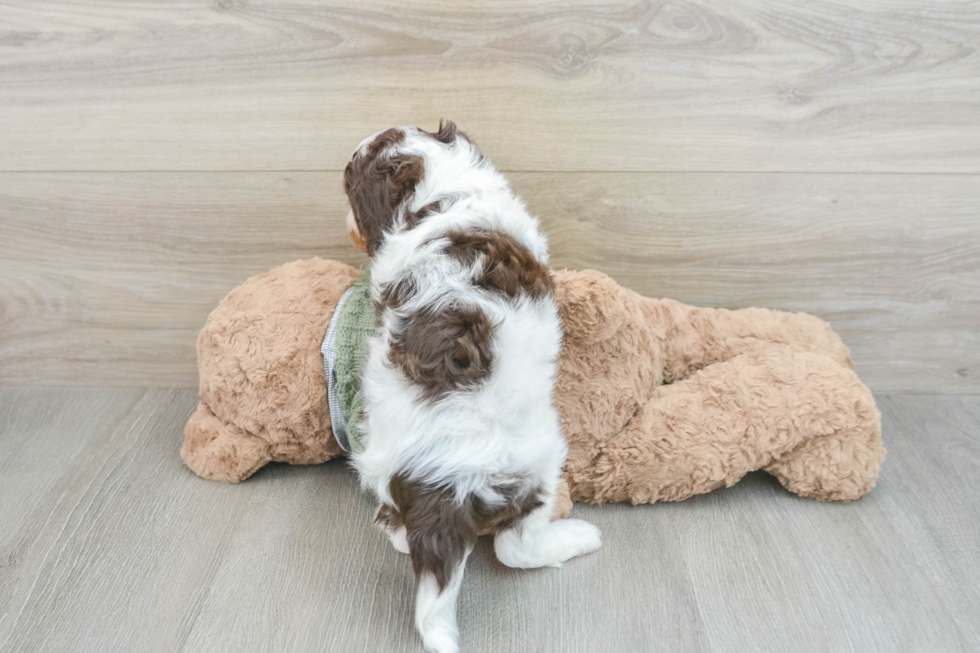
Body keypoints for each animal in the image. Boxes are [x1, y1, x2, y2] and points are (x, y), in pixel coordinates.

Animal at [344, 122, 604, 652]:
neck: (439, 200)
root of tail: (444, 492)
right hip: (538, 463)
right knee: (516, 547)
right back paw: (578, 537)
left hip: (379, 459)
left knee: (394, 518)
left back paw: (399, 536)